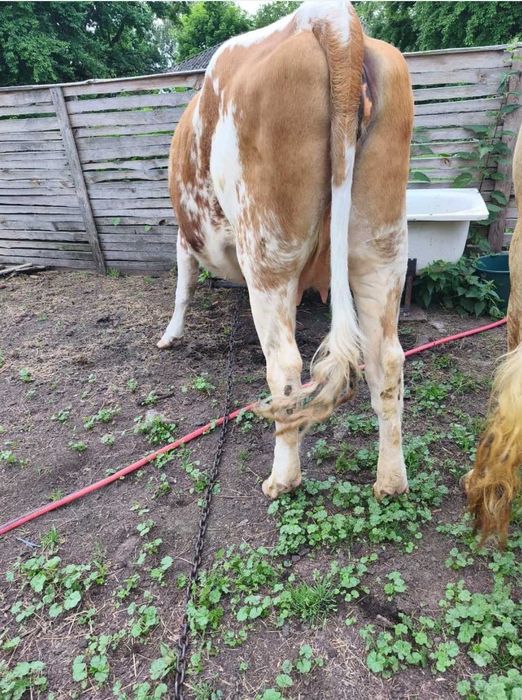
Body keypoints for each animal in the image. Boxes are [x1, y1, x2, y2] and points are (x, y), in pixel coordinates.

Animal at [158, 1, 414, 503]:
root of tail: (329, 18)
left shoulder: (184, 237)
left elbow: (182, 287)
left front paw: (170, 335)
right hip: (382, 247)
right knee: (387, 359)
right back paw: (391, 481)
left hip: (268, 250)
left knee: (287, 367)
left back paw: (281, 479)